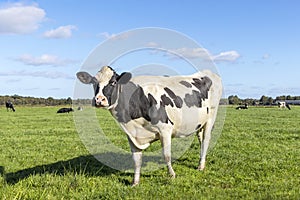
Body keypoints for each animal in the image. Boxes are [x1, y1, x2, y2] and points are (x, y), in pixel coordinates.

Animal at [77, 65, 223, 186]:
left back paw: (201, 166)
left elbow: (166, 155)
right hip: (199, 122)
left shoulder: (165, 129)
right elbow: (136, 160)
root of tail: (209, 73)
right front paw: (135, 182)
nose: (99, 100)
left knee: (206, 140)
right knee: (200, 138)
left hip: (212, 116)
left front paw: (172, 175)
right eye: (94, 82)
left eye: (113, 82)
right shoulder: (132, 135)